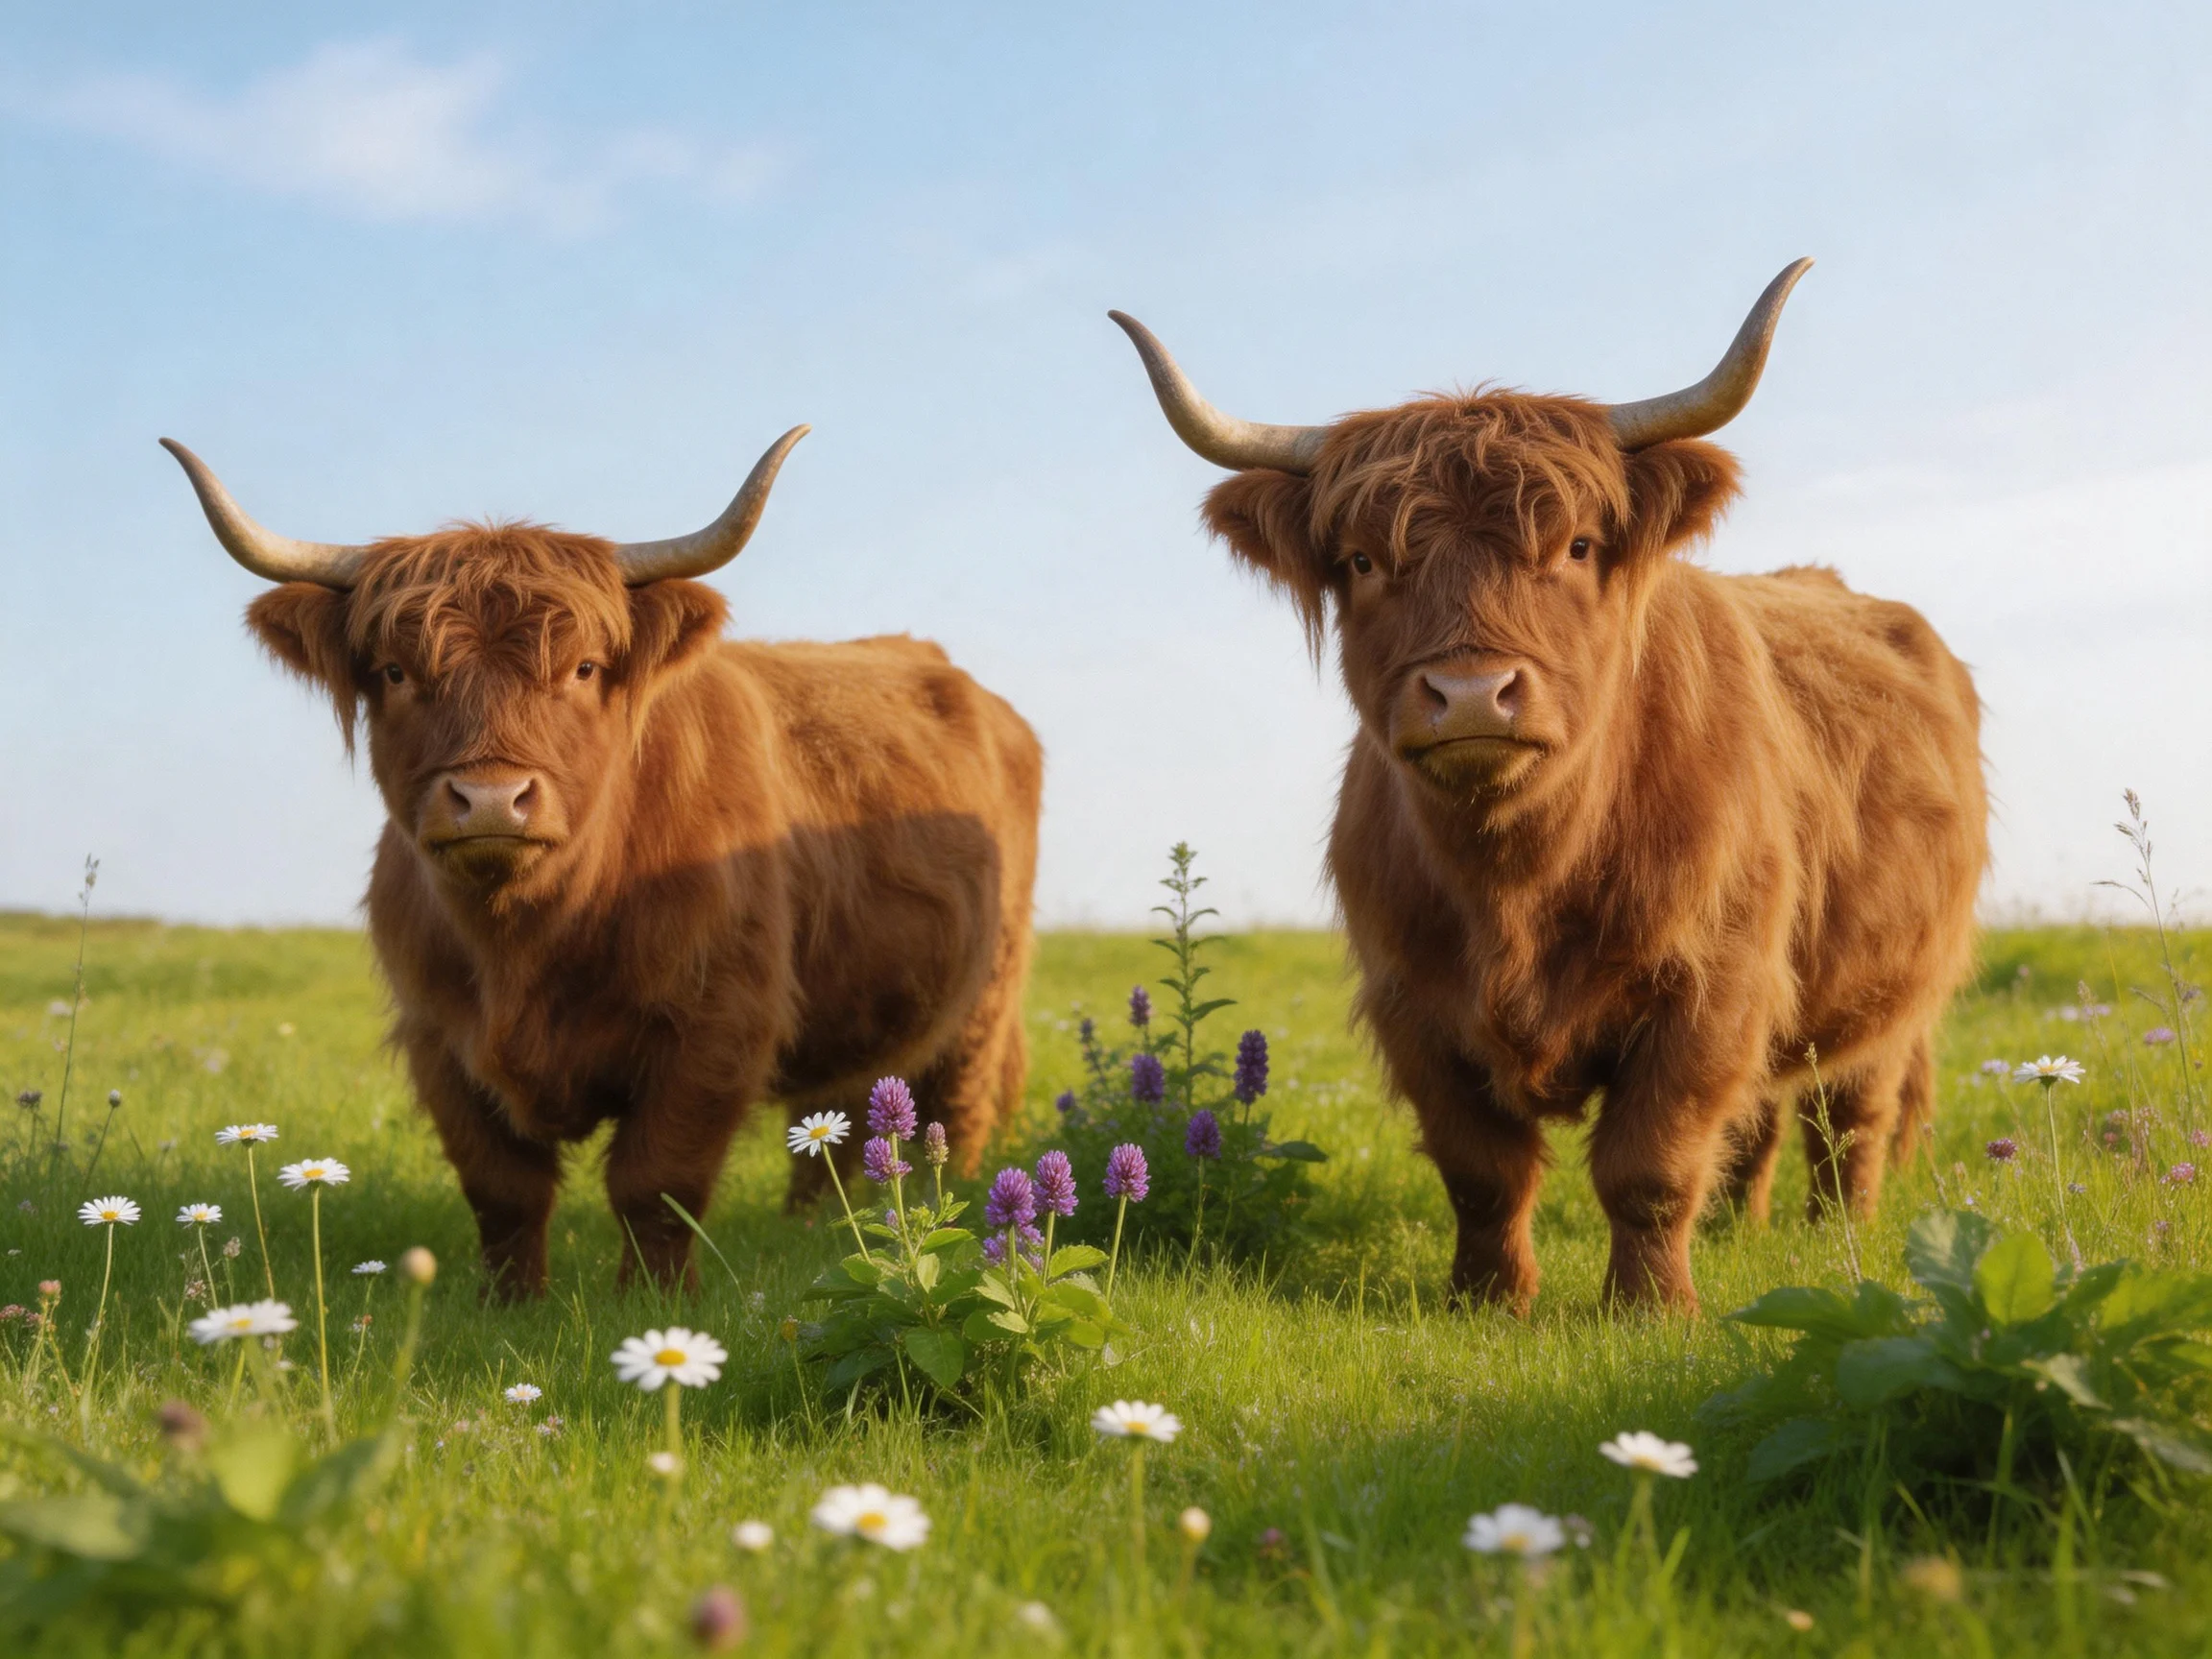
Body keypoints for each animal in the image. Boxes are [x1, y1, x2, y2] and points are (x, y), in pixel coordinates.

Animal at [166, 428, 1042, 1299]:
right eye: (395, 671)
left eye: (583, 667)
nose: (491, 800)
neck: (527, 940)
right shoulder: (438, 1036)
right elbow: (502, 1187)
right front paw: (510, 1304)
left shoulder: (717, 1023)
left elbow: (656, 1181)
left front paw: (654, 1301)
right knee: (844, 1120)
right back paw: (818, 1227)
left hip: (986, 997)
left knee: (952, 1111)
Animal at [1111, 262, 1986, 1313]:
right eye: (1363, 560)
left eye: (1574, 546)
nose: (1470, 693)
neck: (1517, 881)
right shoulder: (1415, 1004)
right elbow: (1483, 1170)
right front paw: (1489, 1302)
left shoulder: (1715, 988)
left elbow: (1650, 1165)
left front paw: (1650, 1310)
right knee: (1766, 1118)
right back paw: (1740, 1228)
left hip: (1891, 992)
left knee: (1850, 1114)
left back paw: (1834, 1235)